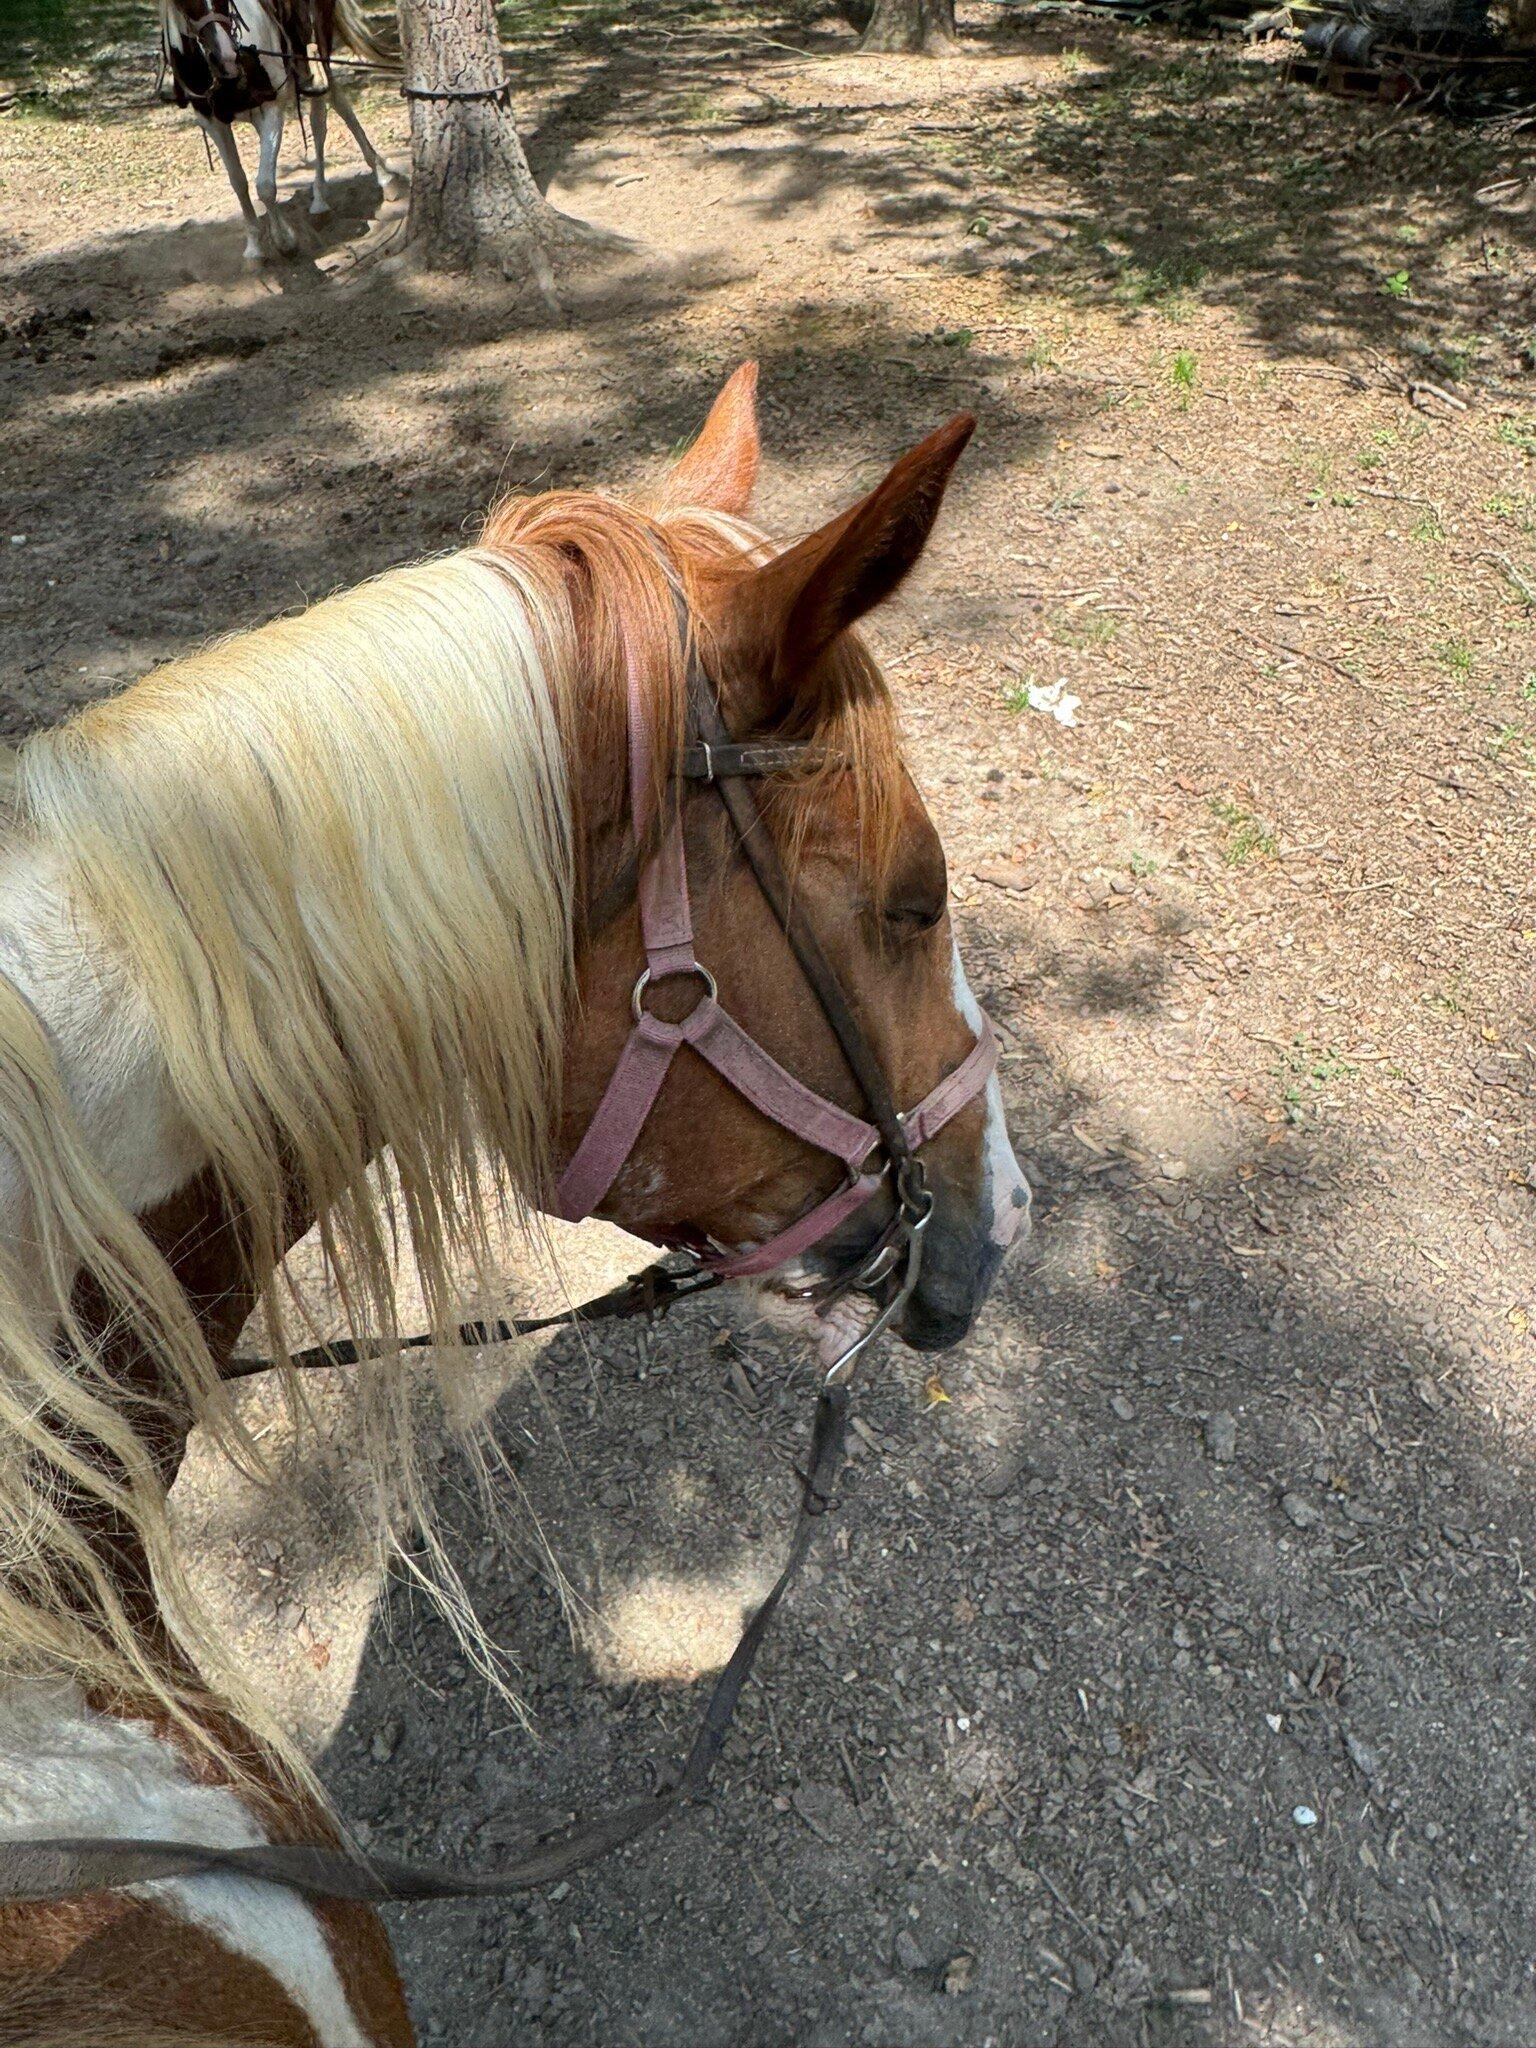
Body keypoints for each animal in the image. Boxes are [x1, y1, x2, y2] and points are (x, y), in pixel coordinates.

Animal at [159, 0, 405, 264]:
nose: (226, 58)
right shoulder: (211, 121)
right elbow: (238, 181)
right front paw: (254, 245)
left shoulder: (271, 108)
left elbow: (265, 185)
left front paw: (285, 241)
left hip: (319, 47)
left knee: (325, 115)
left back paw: (363, 186)